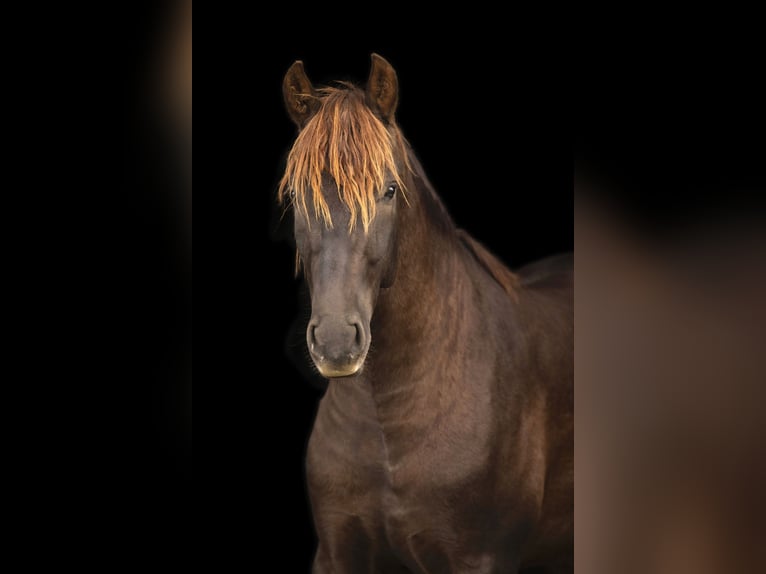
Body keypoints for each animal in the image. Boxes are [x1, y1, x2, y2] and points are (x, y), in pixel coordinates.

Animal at [278, 54, 573, 574]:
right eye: (296, 196)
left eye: (389, 190)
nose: (336, 342)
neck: (388, 425)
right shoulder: (337, 553)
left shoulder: (478, 558)